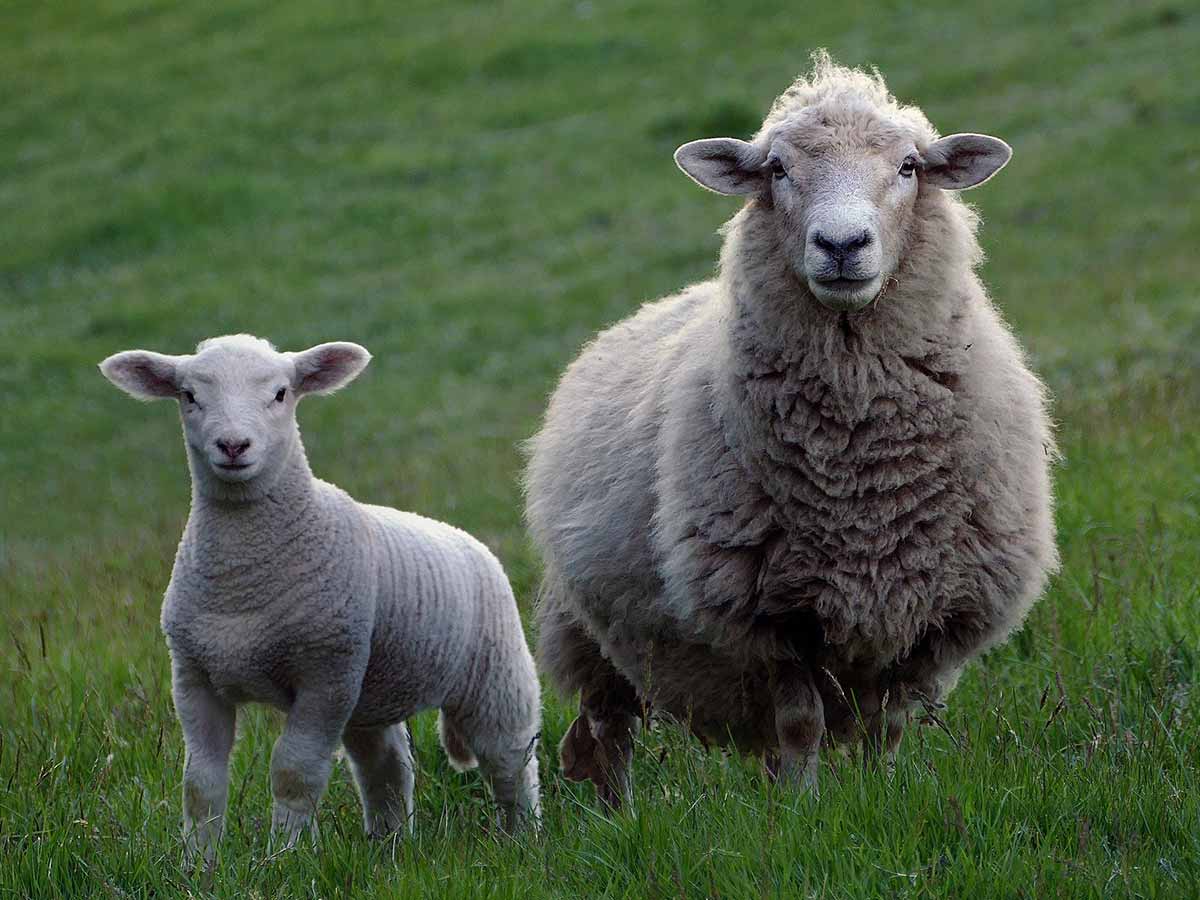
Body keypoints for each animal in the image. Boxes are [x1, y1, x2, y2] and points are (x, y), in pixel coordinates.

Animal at [98, 336, 540, 868]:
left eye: (281, 393)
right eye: (188, 396)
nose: (233, 446)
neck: (241, 581)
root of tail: (467, 539)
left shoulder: (325, 674)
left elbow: (294, 771)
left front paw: (282, 858)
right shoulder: (194, 677)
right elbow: (200, 783)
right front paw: (197, 865)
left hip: (494, 673)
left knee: (510, 759)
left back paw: (522, 839)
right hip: (370, 691)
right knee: (386, 767)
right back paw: (389, 846)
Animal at [525, 52, 1060, 806]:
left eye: (908, 166)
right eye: (777, 169)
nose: (841, 244)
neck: (861, 467)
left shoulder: (926, 613)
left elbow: (888, 727)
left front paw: (877, 798)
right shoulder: (772, 616)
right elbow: (802, 723)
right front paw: (804, 812)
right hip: (588, 630)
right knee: (611, 731)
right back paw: (620, 816)